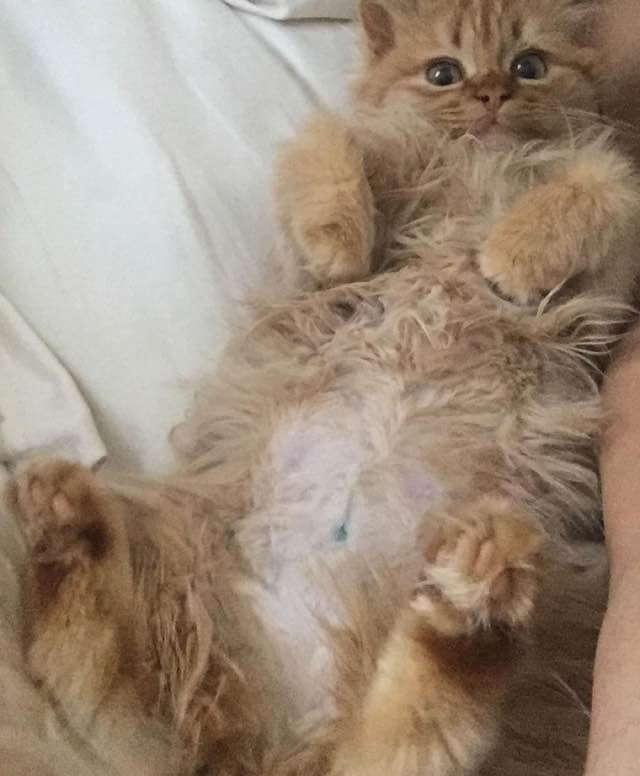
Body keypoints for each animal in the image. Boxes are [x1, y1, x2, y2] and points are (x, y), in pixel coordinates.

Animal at [7, 1, 640, 775]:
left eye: (529, 65)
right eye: (443, 73)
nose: (491, 94)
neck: (475, 161)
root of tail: (275, 747)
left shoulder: (607, 279)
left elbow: (598, 186)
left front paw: (511, 258)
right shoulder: (327, 205)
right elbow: (330, 151)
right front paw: (343, 242)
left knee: (407, 735)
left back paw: (472, 599)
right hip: (177, 582)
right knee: (94, 681)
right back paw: (64, 520)